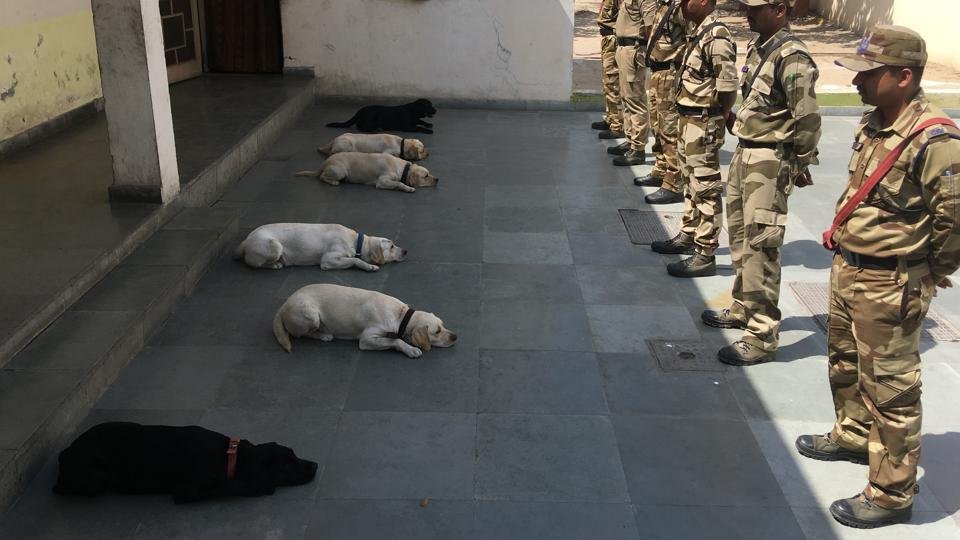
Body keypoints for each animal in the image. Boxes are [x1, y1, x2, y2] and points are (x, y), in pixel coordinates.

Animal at [53, 424, 318, 504]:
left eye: (295, 455)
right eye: (286, 465)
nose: (315, 465)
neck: (229, 456)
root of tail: (65, 452)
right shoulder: (187, 491)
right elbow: (228, 487)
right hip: (95, 475)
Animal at [274, 284, 458, 356]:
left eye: (443, 325)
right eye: (437, 331)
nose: (455, 336)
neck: (400, 315)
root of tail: (282, 306)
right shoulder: (367, 339)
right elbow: (397, 341)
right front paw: (410, 349)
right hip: (311, 315)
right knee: (300, 334)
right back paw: (323, 335)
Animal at [294, 151, 440, 193]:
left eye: (429, 173)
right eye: (426, 176)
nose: (438, 179)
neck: (402, 168)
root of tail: (326, 161)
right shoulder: (382, 181)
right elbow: (399, 183)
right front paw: (408, 188)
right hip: (340, 171)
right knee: (322, 177)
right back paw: (334, 182)